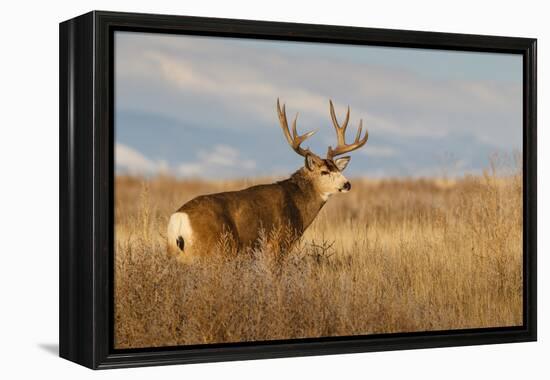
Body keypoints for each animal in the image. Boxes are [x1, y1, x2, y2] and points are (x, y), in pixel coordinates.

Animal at [166, 99, 368, 262]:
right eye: (325, 171)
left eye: (338, 169)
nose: (347, 184)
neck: (297, 205)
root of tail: (178, 221)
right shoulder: (278, 244)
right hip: (214, 250)